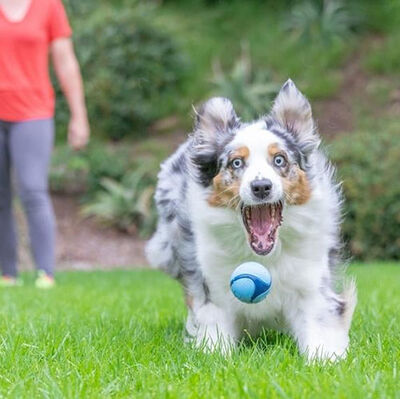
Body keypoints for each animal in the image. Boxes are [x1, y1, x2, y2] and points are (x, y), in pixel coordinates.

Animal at [146, 79, 356, 360]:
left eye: (279, 159)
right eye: (236, 163)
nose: (261, 187)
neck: (264, 256)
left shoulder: (311, 286)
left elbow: (320, 333)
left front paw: (325, 361)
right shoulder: (214, 288)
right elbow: (215, 334)